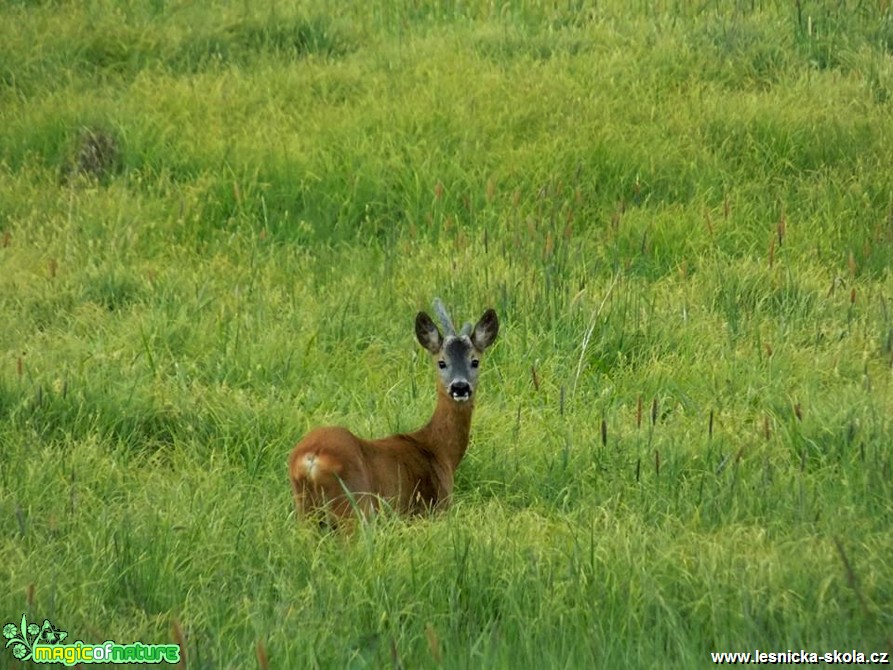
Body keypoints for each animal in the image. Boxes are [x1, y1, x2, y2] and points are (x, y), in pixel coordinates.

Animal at [292, 300, 502, 524]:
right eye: (442, 362)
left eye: (475, 361)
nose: (460, 387)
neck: (439, 450)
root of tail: (312, 458)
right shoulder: (434, 509)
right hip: (355, 507)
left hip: (305, 510)